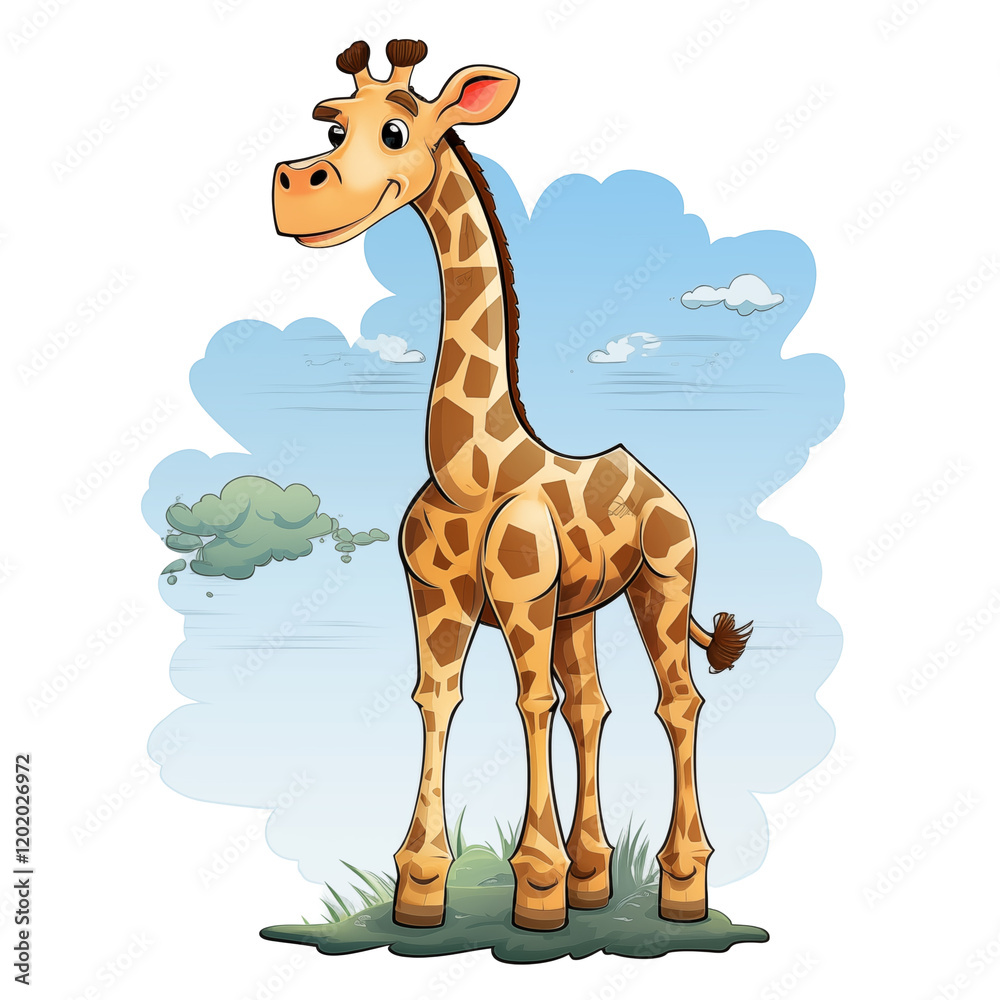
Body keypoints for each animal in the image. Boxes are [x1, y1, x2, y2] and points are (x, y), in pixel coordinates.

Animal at [272, 39, 753, 933]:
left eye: (396, 130)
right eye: (333, 125)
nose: (293, 189)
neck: (468, 467)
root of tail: (664, 489)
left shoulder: (524, 594)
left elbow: (532, 705)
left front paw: (537, 889)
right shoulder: (435, 594)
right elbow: (437, 698)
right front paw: (422, 886)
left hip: (664, 581)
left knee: (677, 701)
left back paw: (679, 885)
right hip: (583, 608)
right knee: (594, 703)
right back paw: (595, 877)